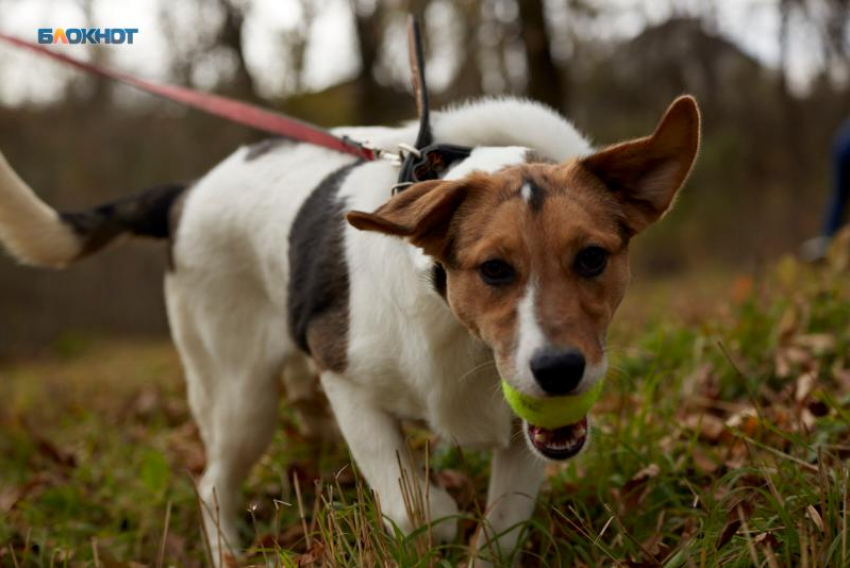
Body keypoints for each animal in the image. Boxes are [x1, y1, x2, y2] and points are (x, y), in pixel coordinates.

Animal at [0, 94, 700, 564]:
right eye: (494, 270)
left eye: (592, 259)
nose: (559, 371)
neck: (453, 326)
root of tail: (186, 194)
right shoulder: (350, 386)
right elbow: (417, 509)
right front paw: (436, 513)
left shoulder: (524, 441)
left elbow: (500, 528)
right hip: (239, 395)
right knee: (212, 483)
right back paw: (229, 549)